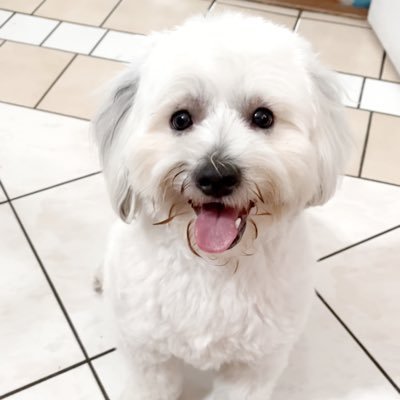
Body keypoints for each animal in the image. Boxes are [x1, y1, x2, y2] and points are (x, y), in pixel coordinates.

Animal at [94, 12, 350, 400]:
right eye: (180, 119)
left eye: (263, 117)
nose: (215, 176)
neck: (213, 266)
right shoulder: (149, 356)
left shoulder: (254, 367)